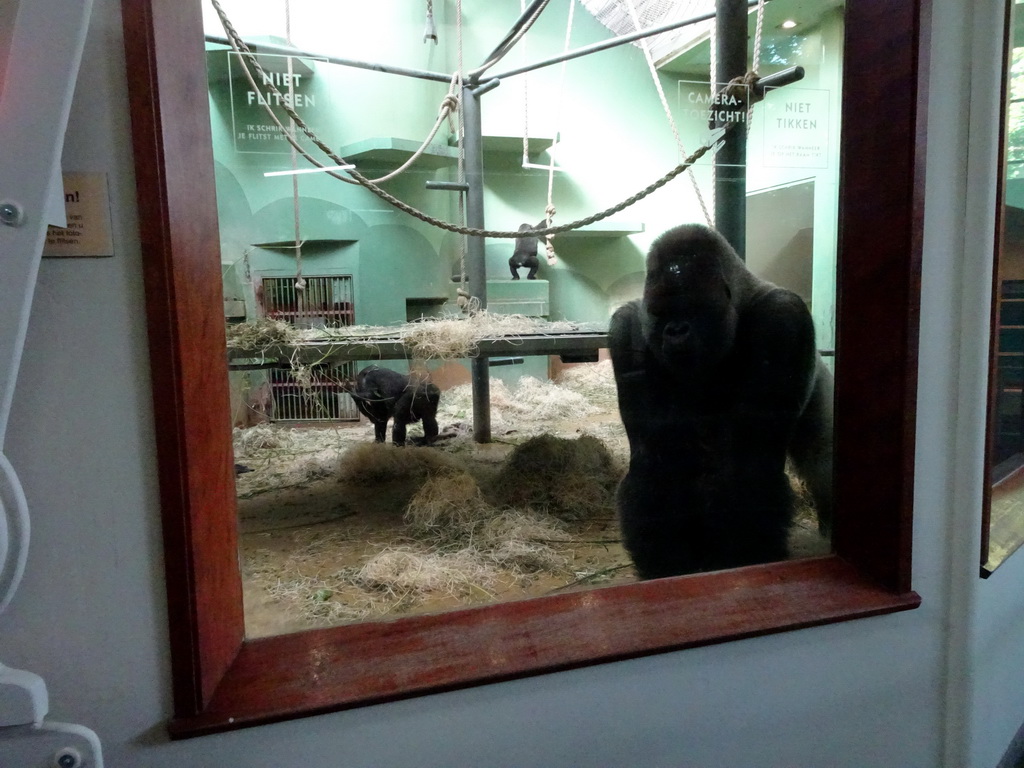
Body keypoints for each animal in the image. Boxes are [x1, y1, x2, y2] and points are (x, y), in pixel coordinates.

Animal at [606, 225, 831, 581]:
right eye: (661, 313)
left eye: (691, 308)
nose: (675, 331)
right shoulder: (626, 328)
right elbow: (656, 454)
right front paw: (666, 565)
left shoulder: (783, 318)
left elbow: (747, 459)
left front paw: (739, 558)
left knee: (824, 461)